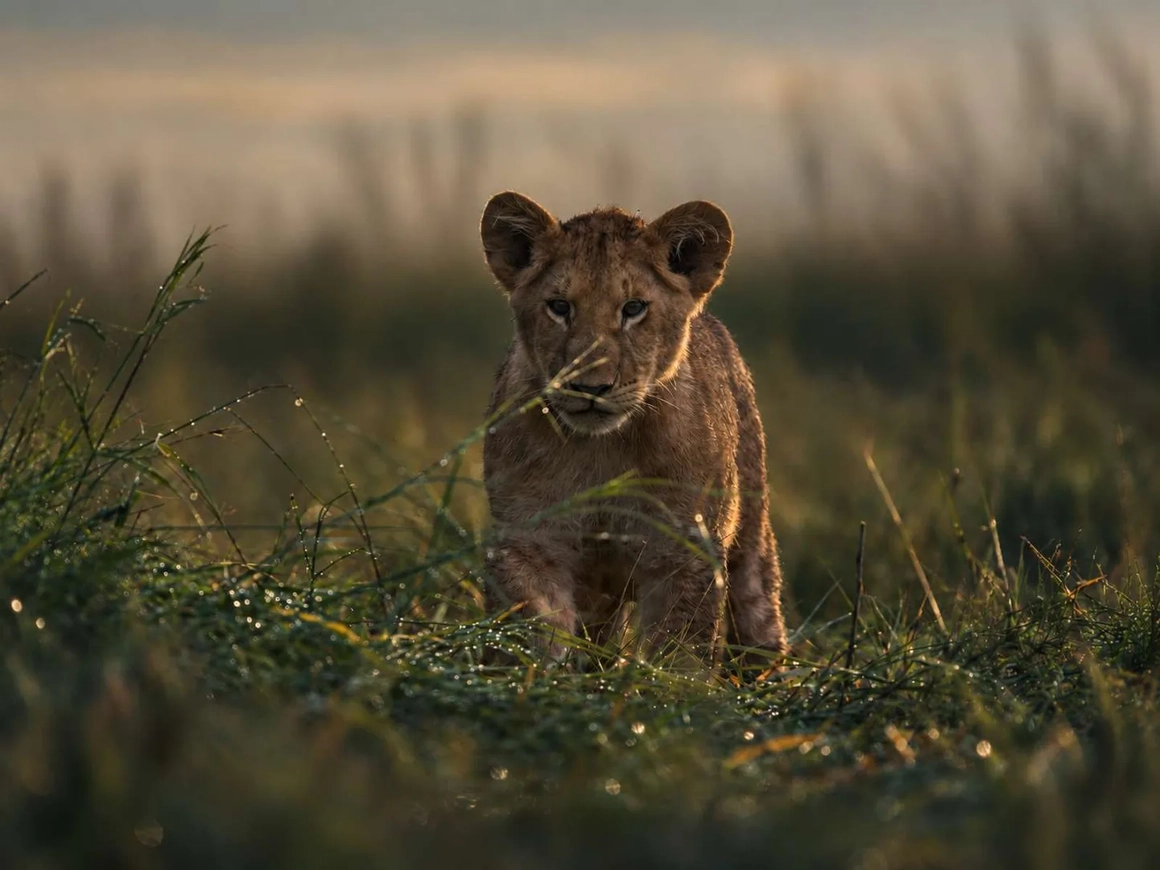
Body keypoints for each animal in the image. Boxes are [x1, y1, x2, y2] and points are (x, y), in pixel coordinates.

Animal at [479, 191, 787, 666]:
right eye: (560, 307)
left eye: (634, 309)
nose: (591, 387)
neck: (601, 451)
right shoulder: (529, 540)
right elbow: (534, 629)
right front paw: (539, 677)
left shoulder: (683, 552)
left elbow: (680, 650)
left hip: (751, 538)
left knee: (757, 610)